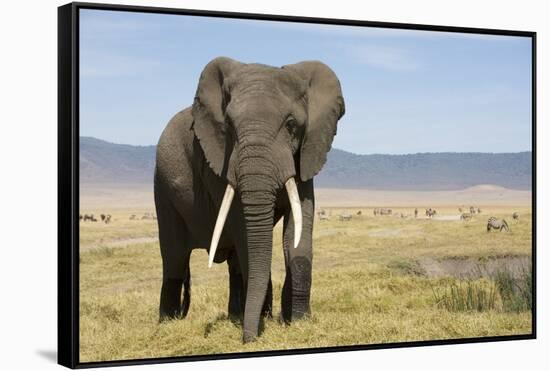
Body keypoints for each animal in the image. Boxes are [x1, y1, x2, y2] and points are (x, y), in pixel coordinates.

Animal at [154, 56, 344, 344]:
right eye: (230, 128)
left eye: (291, 125)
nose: (249, 339)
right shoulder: (218, 163)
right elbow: (244, 231)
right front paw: (264, 322)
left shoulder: (306, 154)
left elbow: (298, 230)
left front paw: (298, 322)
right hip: (162, 188)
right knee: (174, 257)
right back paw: (168, 324)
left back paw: (236, 316)